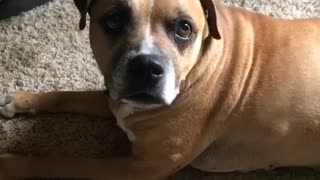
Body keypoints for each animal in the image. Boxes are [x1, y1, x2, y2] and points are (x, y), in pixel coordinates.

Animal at [0, 0, 320, 179]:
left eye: (184, 28)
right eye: (114, 19)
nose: (146, 67)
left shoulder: (141, 168)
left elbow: (62, 163)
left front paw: (12, 165)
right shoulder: (116, 97)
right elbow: (70, 96)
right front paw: (22, 100)